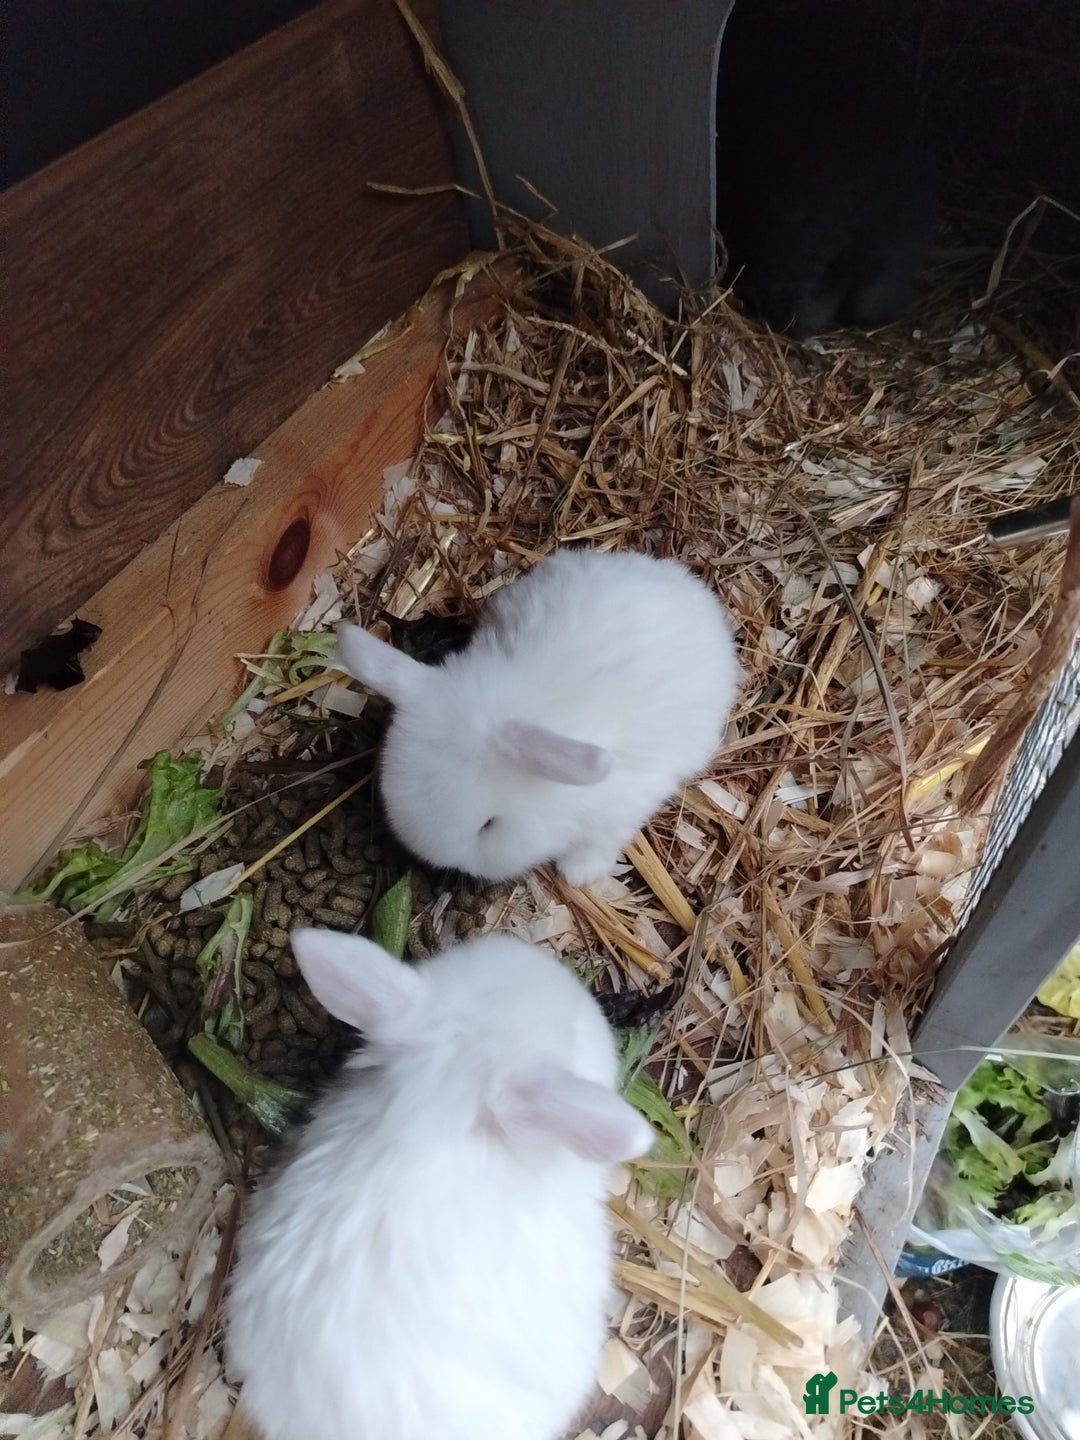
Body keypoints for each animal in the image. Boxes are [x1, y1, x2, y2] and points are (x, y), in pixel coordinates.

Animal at [336, 546, 740, 886]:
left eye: (489, 824)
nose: (449, 864)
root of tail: (684, 584)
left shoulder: (621, 806)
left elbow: (600, 841)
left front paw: (578, 874)